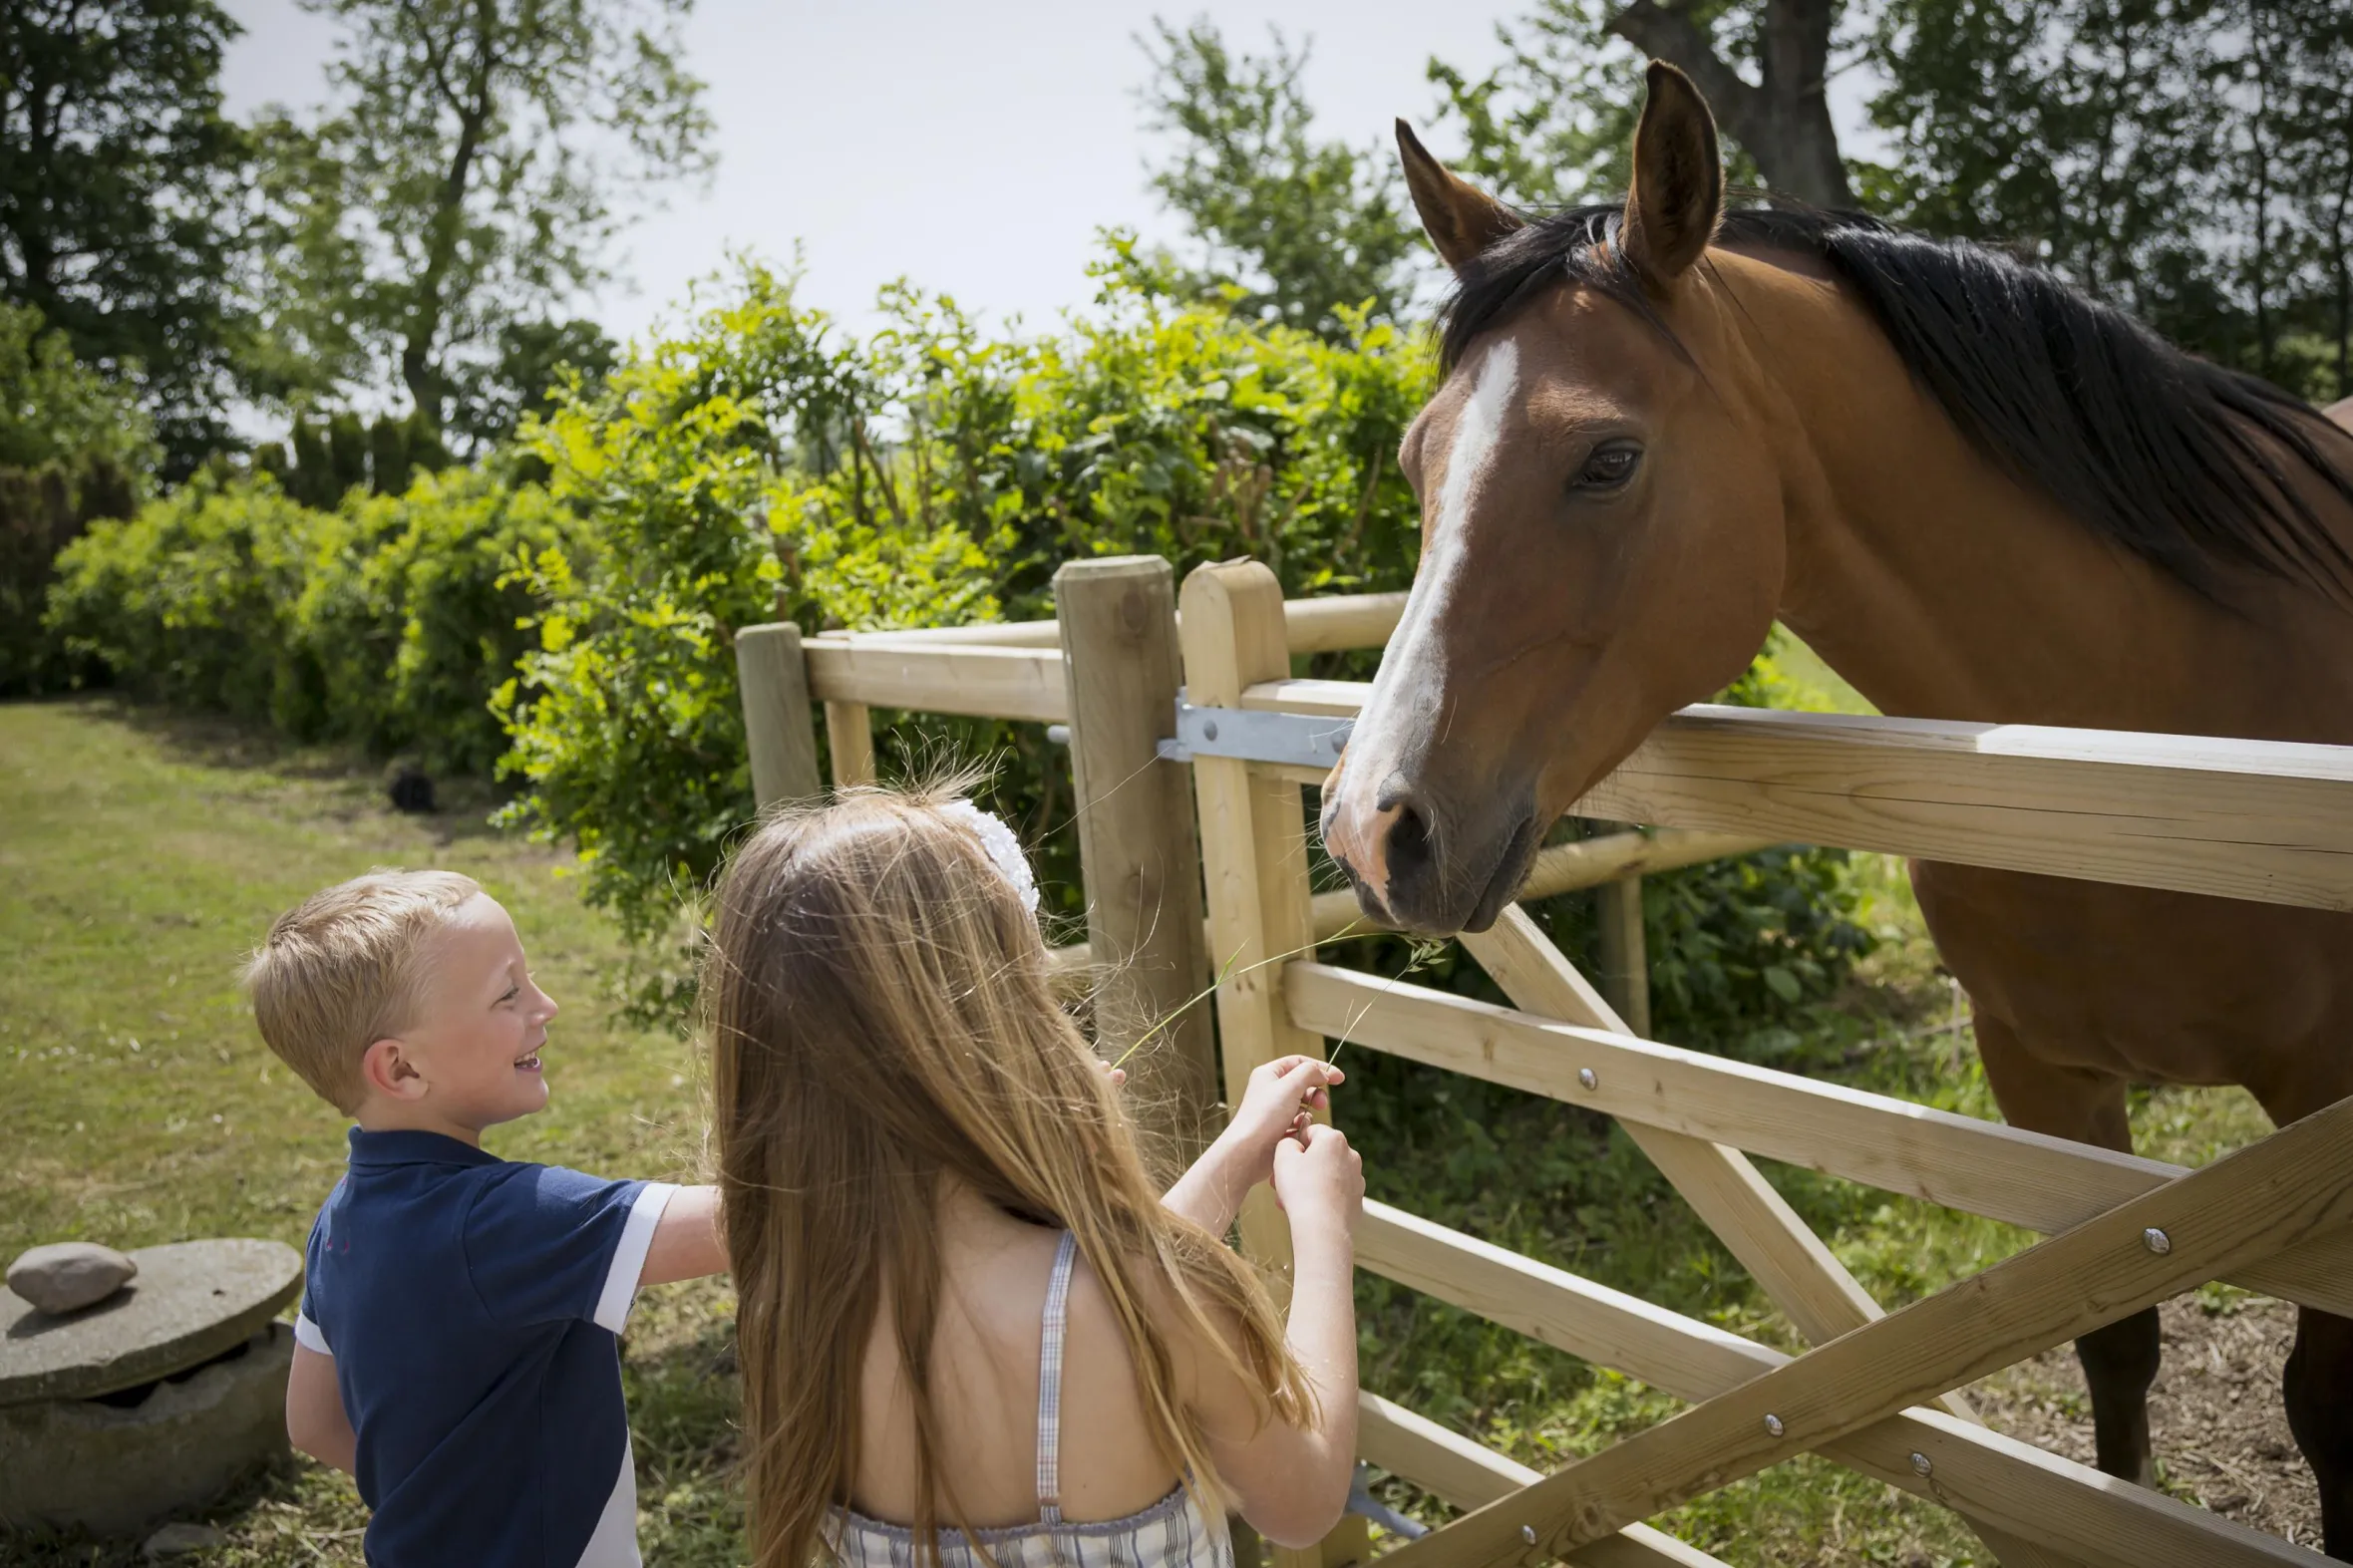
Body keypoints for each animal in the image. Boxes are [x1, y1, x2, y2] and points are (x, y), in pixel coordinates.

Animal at [1318, 61, 2353, 1557]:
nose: (1369, 826)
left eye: (1607, 459)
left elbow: (2321, 1403)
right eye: (1413, 462)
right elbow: (2116, 1350)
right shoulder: (2044, 1079)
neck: (2155, 765)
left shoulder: (2321, 1110)